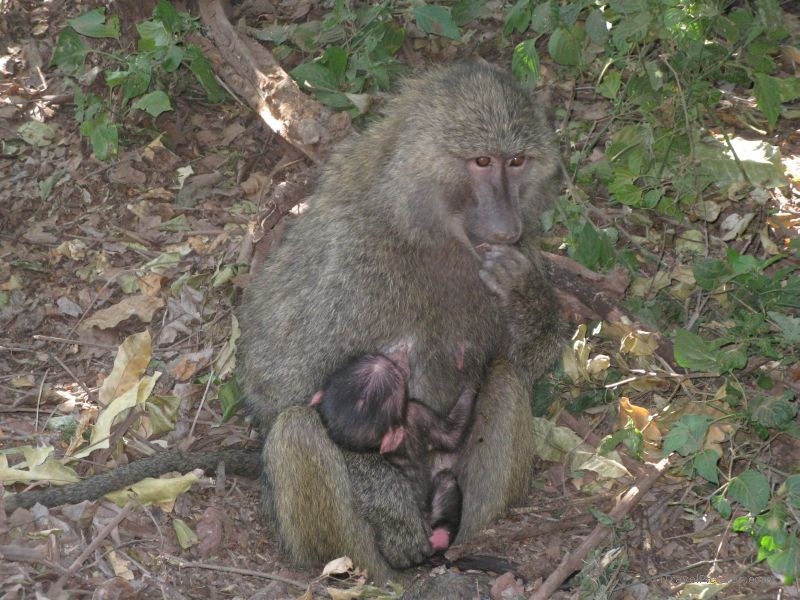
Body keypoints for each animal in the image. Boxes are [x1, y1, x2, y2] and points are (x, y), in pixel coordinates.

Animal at [309, 349, 476, 550]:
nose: (395, 361)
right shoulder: (415, 412)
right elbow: (450, 435)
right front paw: (471, 386)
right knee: (447, 481)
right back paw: (442, 535)